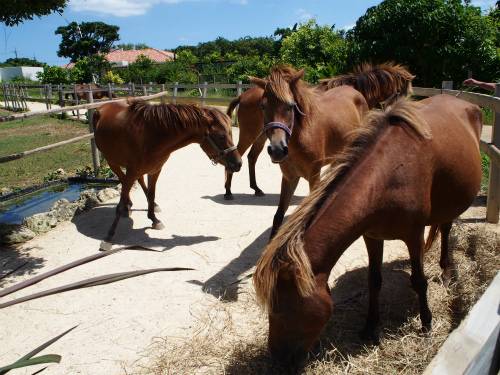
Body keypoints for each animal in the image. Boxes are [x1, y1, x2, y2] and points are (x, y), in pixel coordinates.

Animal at [94, 100, 243, 253]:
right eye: (221, 136)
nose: (238, 163)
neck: (150, 136)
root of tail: (103, 107)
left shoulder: (154, 170)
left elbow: (151, 194)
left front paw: (154, 219)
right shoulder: (132, 172)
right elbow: (120, 205)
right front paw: (108, 237)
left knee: (138, 182)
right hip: (112, 163)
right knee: (123, 180)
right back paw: (127, 207)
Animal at [225, 62, 416, 201]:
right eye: (403, 92)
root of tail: (242, 95)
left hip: (262, 136)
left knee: (251, 157)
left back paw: (256, 188)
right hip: (250, 134)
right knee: (237, 155)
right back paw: (228, 191)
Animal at [254, 95, 484, 372]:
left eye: (279, 310)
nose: (278, 358)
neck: (387, 175)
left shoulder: (414, 236)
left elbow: (418, 281)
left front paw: (427, 324)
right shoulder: (372, 236)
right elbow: (374, 281)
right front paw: (369, 328)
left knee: (447, 229)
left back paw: (447, 272)